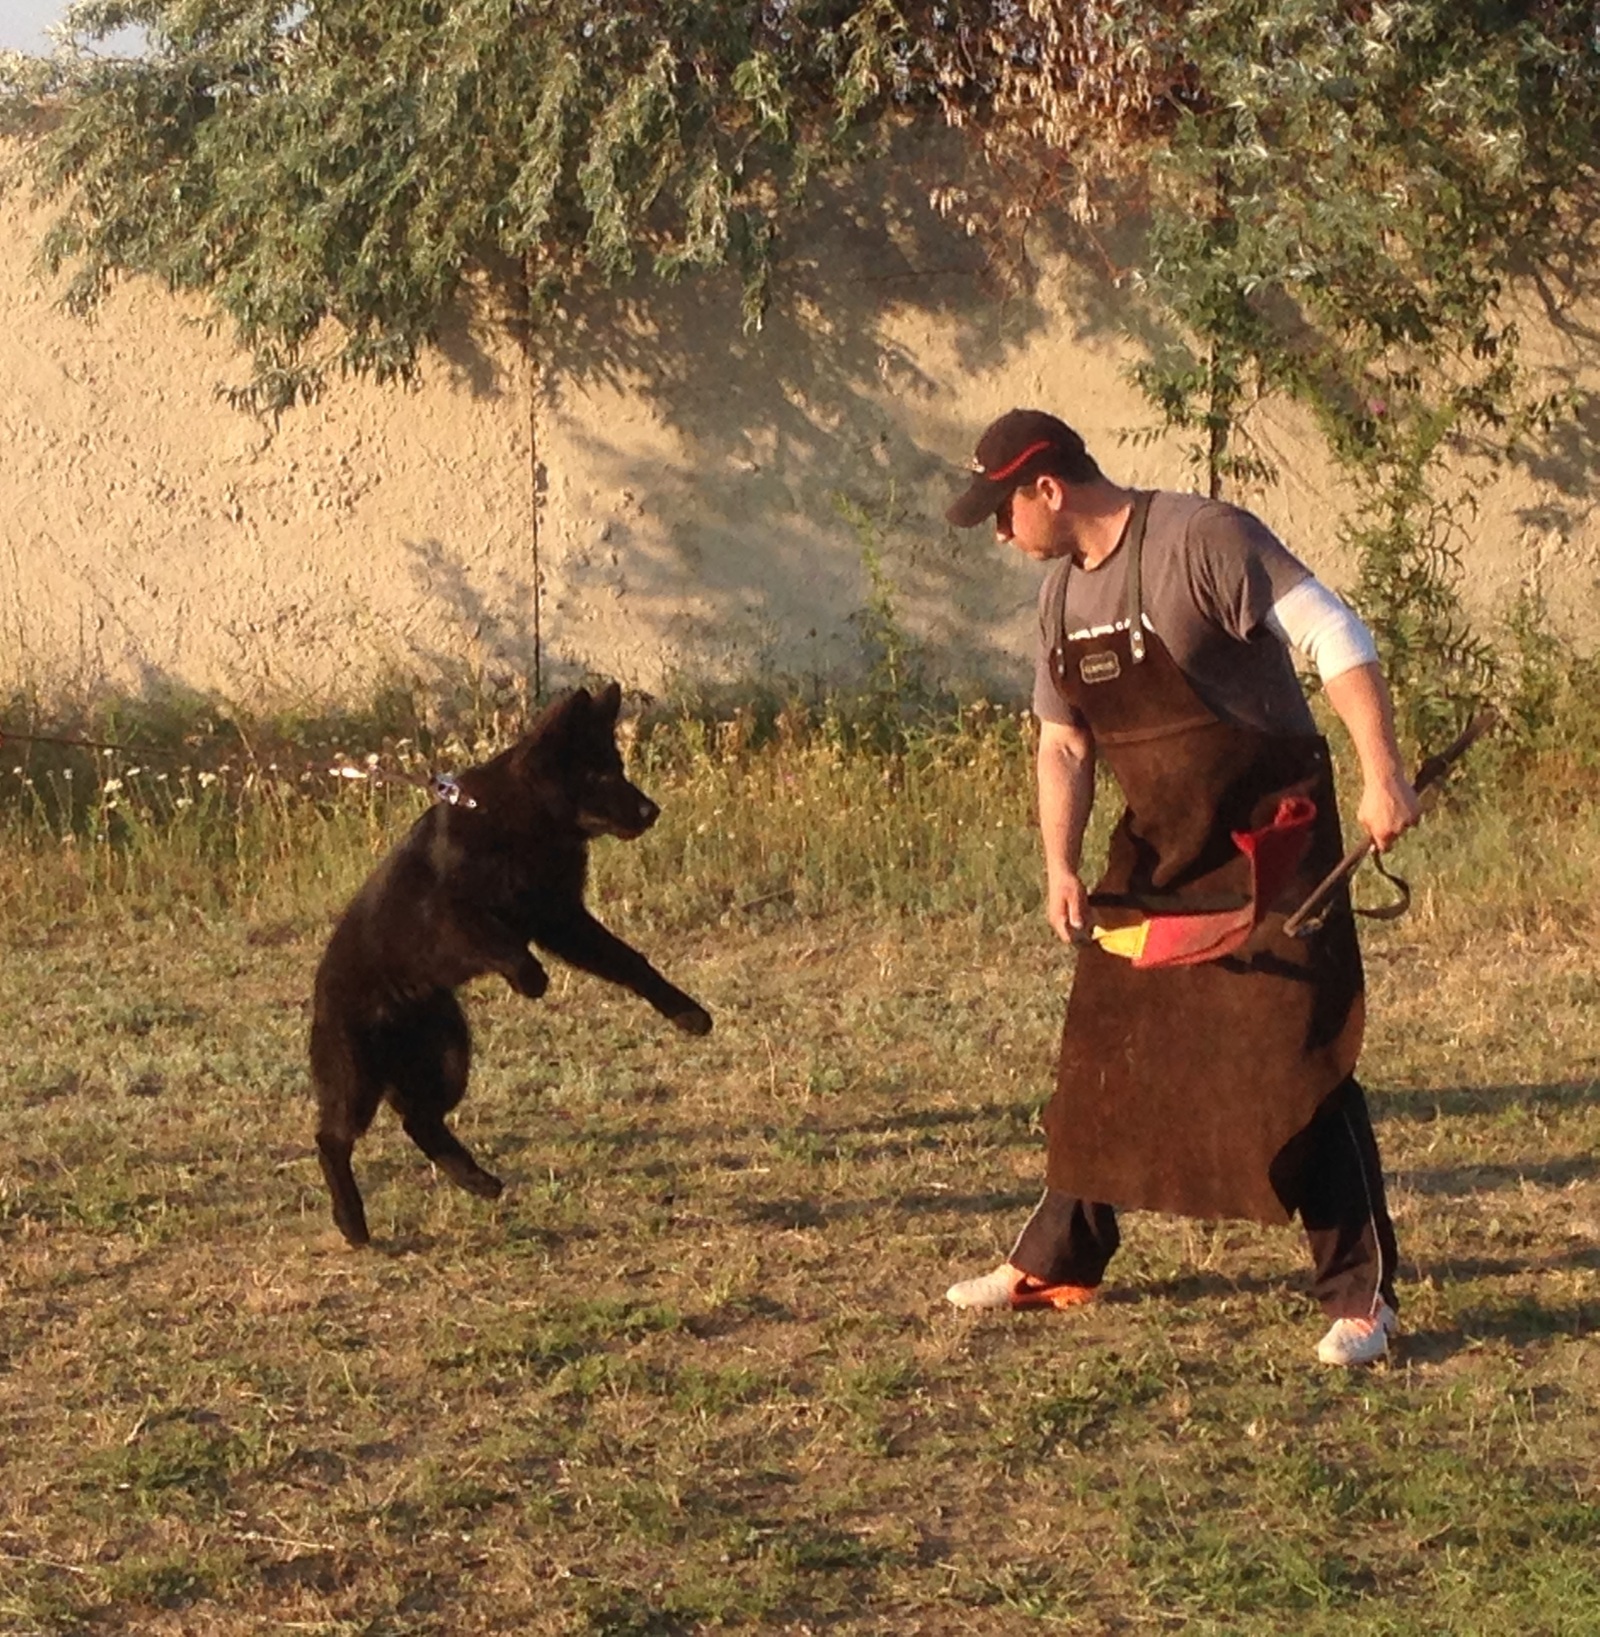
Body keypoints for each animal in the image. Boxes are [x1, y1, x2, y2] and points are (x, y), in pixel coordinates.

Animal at [309, 684, 707, 1244]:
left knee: (419, 1122)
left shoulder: (562, 918)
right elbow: (499, 940)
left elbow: (631, 962)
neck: (524, 823)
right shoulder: (454, 918)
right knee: (332, 1138)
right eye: (600, 774)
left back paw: (478, 1181)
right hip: (356, 1075)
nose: (653, 811)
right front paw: (530, 979)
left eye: (619, 767)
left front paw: (688, 1013)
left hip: (448, 1056)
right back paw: (351, 1220)